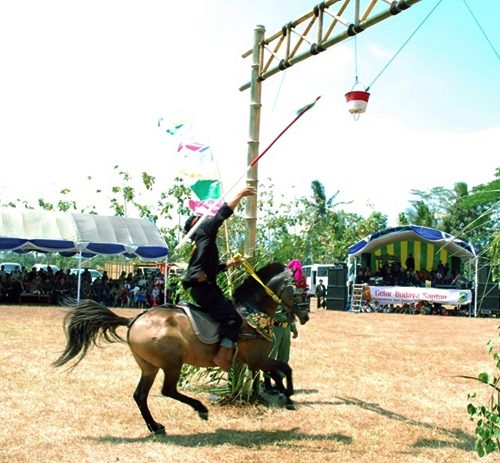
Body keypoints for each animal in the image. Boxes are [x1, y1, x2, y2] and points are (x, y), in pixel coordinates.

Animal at [55, 262, 312, 436]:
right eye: (299, 290)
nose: (306, 316)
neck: (252, 311)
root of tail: (133, 320)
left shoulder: (257, 360)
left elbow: (278, 372)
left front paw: (285, 396)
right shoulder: (257, 359)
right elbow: (284, 369)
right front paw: (289, 396)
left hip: (148, 367)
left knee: (140, 395)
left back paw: (155, 426)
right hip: (171, 363)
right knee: (168, 390)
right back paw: (200, 409)